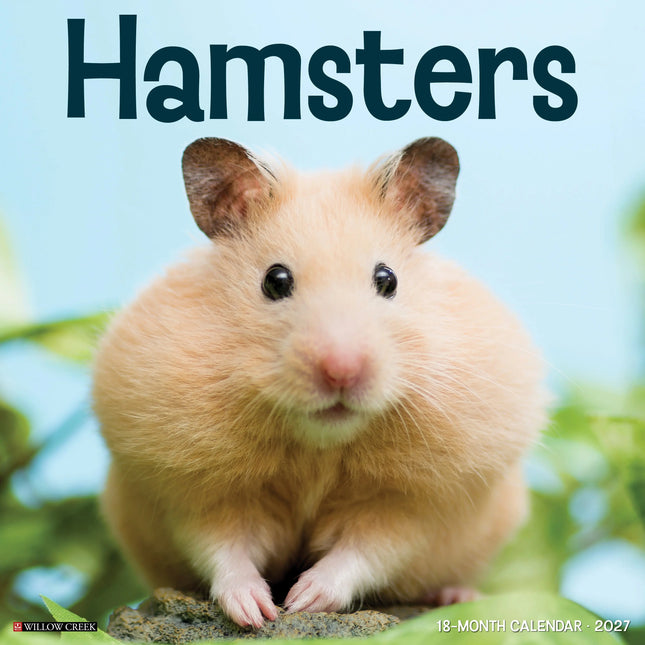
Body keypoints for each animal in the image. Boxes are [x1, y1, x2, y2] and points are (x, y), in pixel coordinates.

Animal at [93, 136, 548, 629]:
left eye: (387, 279)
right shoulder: (199, 492)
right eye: (275, 281)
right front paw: (257, 612)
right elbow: (223, 548)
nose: (341, 371)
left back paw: (455, 595)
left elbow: (367, 551)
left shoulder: (410, 506)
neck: (319, 445)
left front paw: (303, 599)